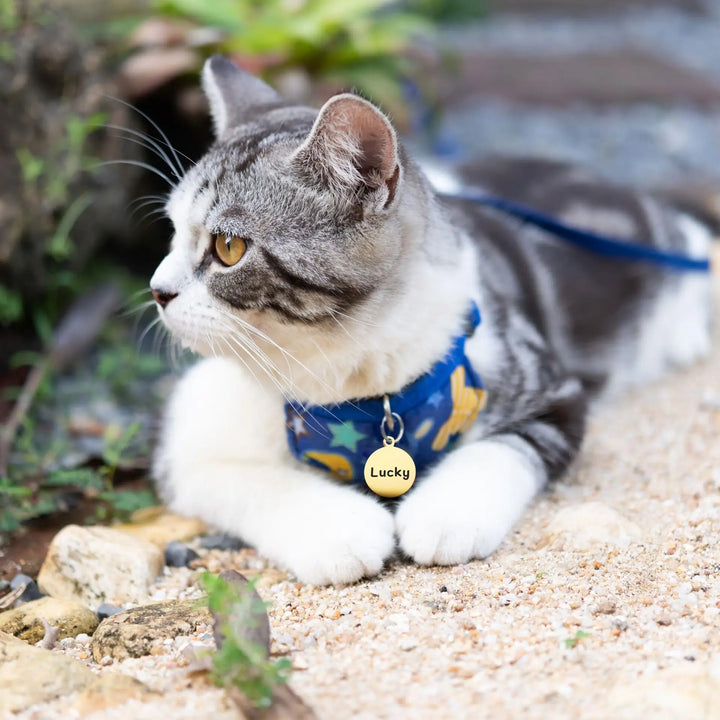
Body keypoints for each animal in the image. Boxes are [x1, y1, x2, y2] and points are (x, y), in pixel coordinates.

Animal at [149, 56, 712, 584]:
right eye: (171, 231)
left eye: (228, 247)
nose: (157, 290)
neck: (347, 378)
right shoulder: (192, 433)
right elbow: (240, 479)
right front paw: (336, 530)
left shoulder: (547, 386)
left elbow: (506, 447)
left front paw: (447, 513)